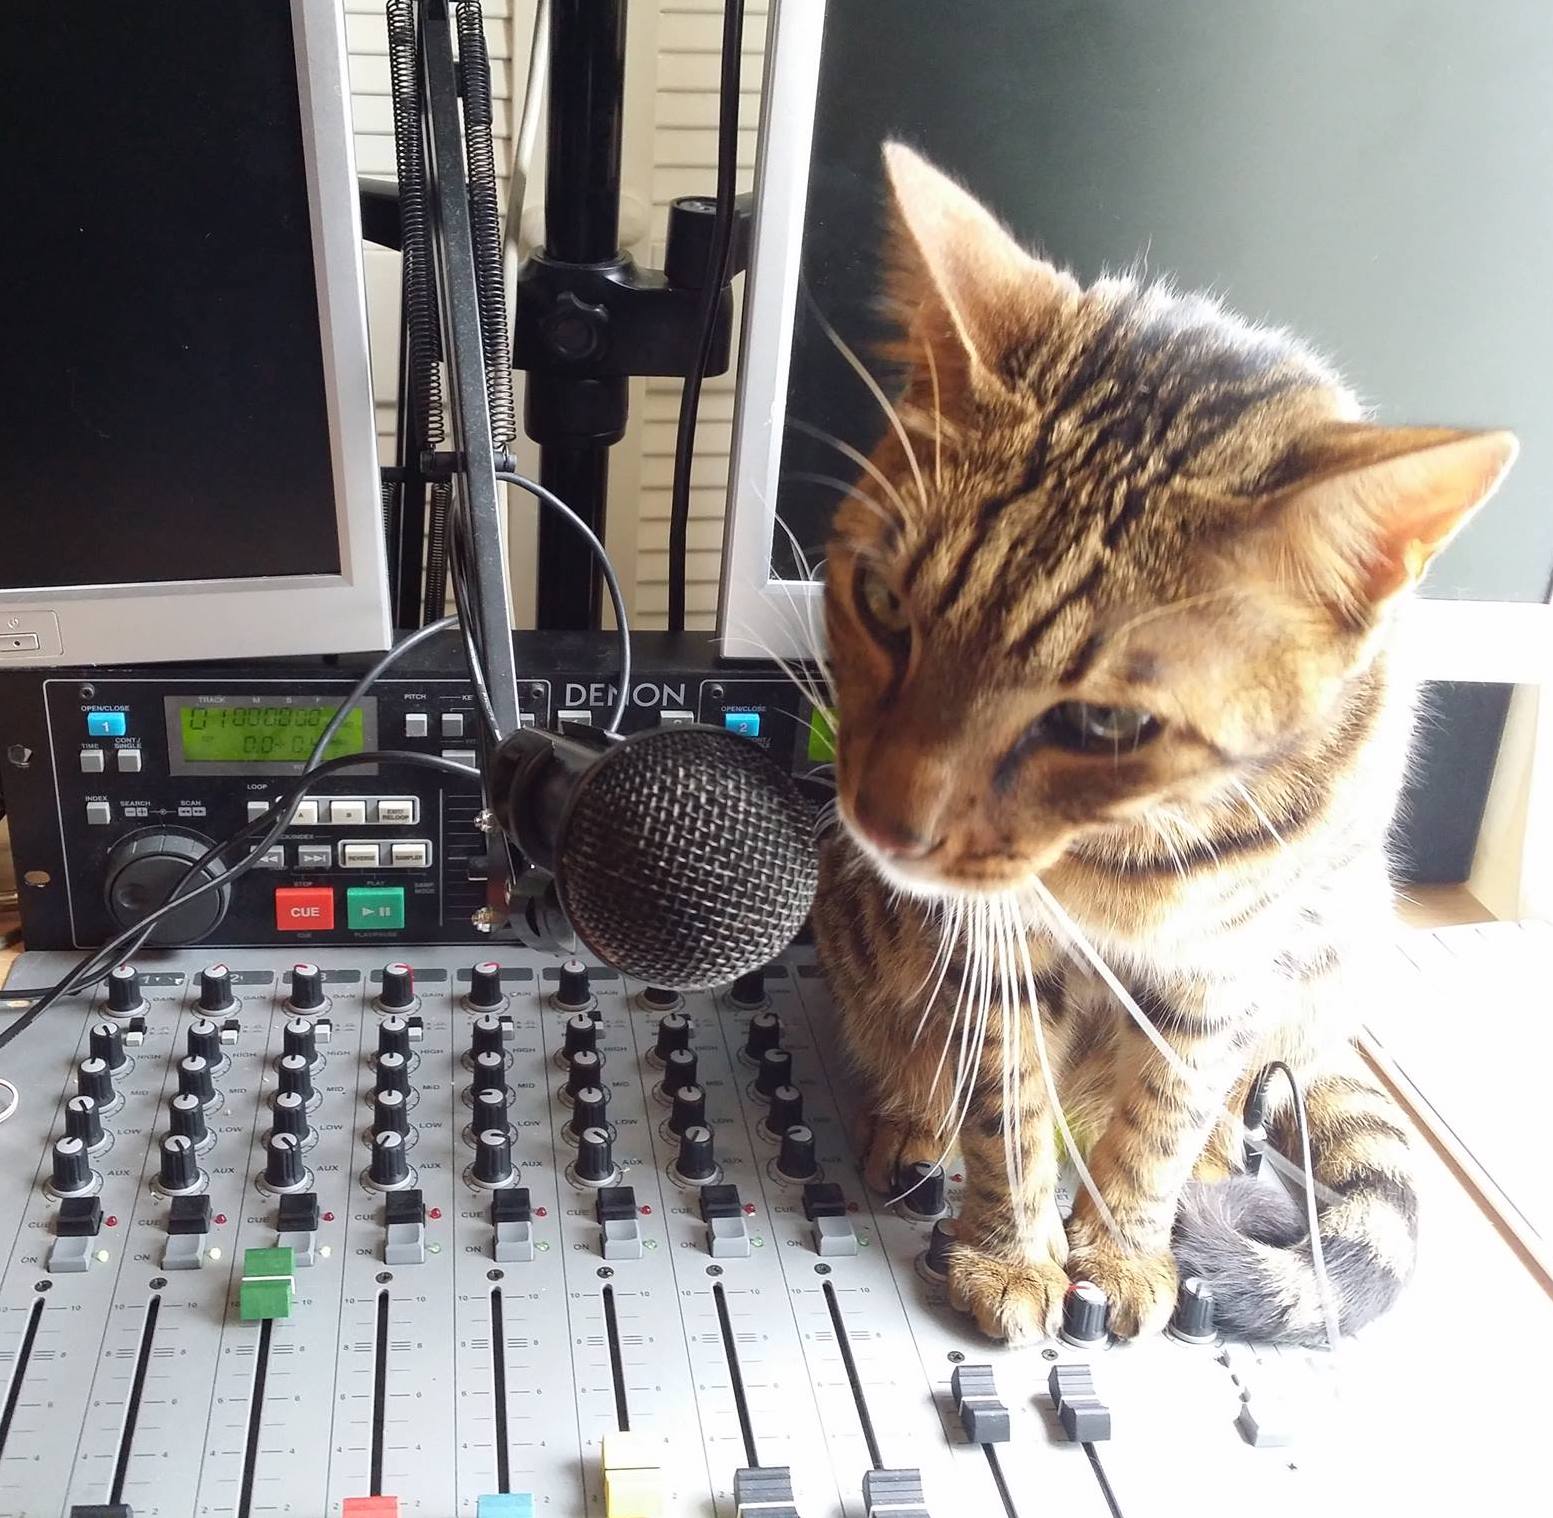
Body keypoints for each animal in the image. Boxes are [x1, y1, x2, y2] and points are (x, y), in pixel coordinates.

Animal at [813, 148, 1515, 1342]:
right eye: (881, 605)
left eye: (1105, 724)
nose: (881, 823)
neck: (1126, 855)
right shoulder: (995, 946)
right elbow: (1006, 1110)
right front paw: (1012, 1253)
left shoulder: (1224, 970)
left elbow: (1162, 1119)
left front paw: (1124, 1255)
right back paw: (910, 1122)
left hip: (1327, 956)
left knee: (1234, 1104)